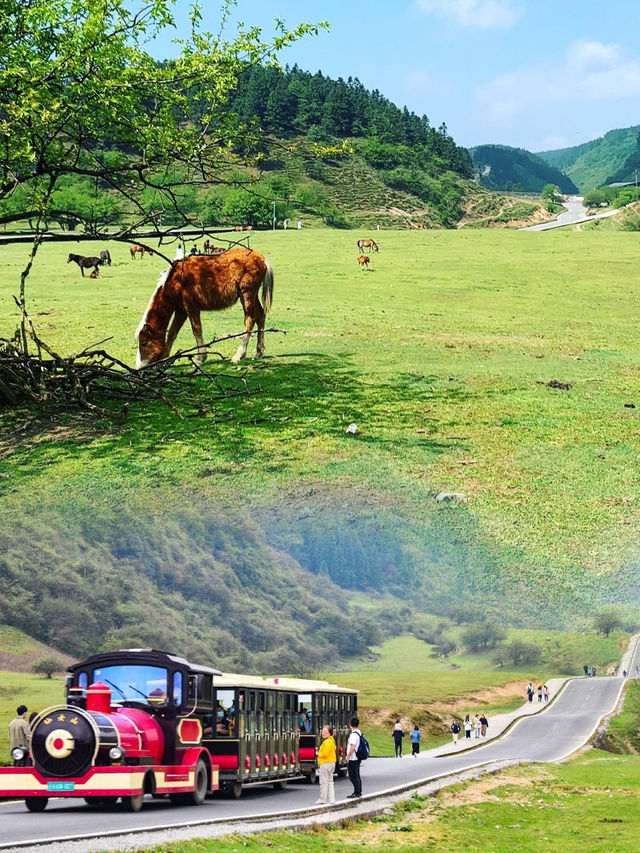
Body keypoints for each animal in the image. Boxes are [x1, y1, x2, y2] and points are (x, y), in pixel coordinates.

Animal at [135, 245, 272, 368]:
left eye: (143, 343)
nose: (139, 367)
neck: (176, 280)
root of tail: (262, 259)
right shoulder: (181, 311)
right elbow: (172, 333)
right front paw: (164, 359)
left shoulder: (191, 307)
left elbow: (196, 330)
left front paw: (200, 358)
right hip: (253, 296)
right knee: (260, 317)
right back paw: (258, 353)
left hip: (246, 295)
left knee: (250, 320)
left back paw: (239, 354)